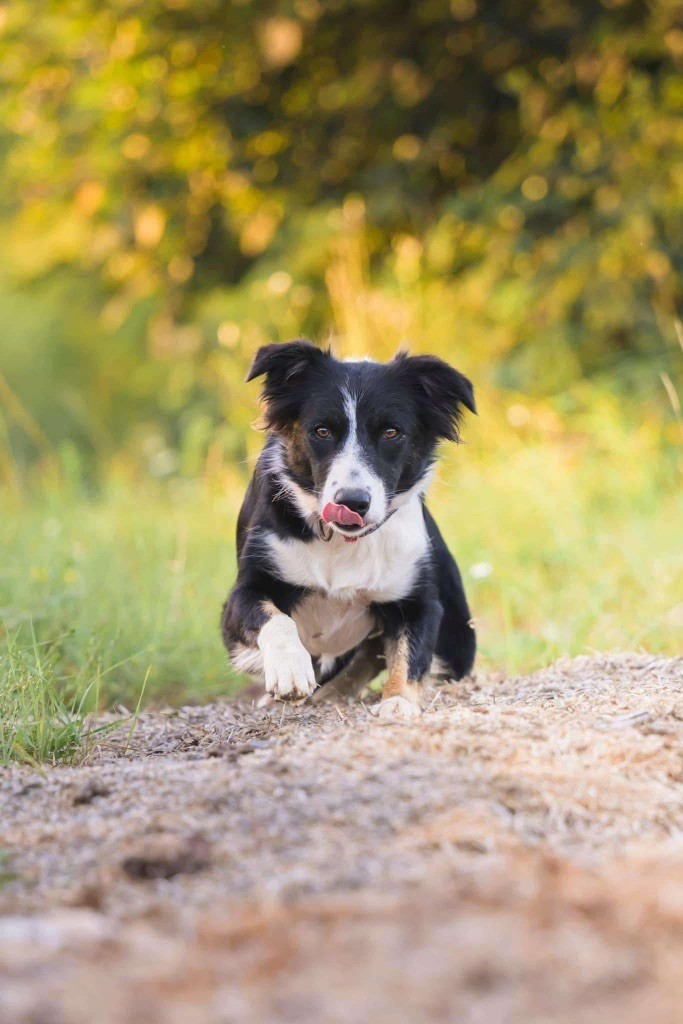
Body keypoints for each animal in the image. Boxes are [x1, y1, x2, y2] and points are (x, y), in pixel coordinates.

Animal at [223, 339, 475, 716]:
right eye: (322, 431)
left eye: (391, 432)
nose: (353, 502)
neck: (341, 541)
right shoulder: (246, 589)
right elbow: (275, 618)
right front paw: (289, 670)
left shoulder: (419, 600)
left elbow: (409, 652)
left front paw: (398, 701)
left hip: (461, 635)